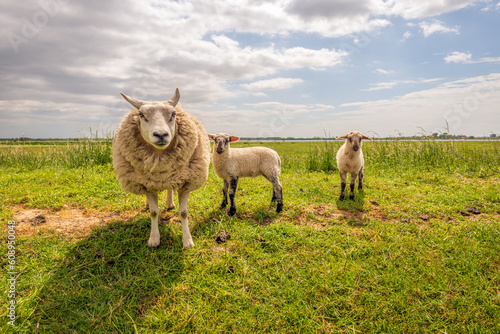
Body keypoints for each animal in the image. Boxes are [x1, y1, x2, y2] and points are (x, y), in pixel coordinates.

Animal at [112, 87, 210, 249]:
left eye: (174, 114)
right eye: (141, 114)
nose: (161, 134)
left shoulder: (185, 183)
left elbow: (183, 213)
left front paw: (187, 240)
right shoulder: (148, 185)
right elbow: (153, 213)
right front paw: (154, 239)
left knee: (169, 188)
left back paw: (170, 204)